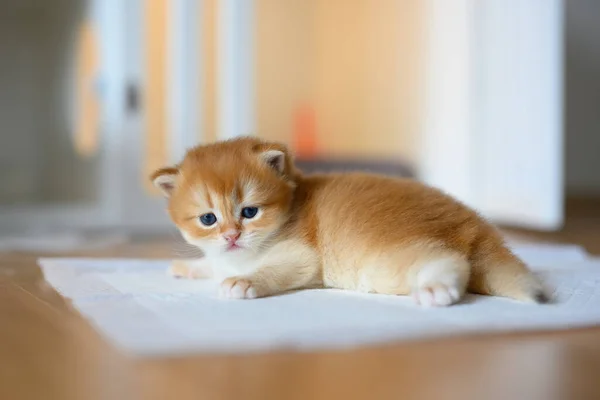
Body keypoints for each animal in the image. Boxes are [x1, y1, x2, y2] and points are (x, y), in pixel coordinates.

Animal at [152, 137, 548, 306]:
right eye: (208, 219)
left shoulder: (301, 257)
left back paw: (437, 289)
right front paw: (187, 267)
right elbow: (212, 263)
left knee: (450, 261)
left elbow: (267, 271)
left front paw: (244, 281)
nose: (232, 236)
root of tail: (476, 227)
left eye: (250, 212)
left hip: (387, 261)